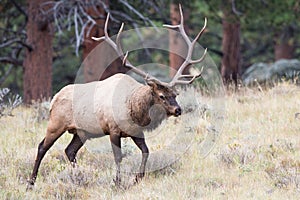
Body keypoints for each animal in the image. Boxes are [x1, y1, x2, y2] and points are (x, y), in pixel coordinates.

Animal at [27, 5, 207, 189]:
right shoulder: (113, 129)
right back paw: (31, 182)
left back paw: (79, 176)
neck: (135, 109)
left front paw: (137, 178)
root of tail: (54, 99)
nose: (178, 110)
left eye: (176, 94)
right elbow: (118, 157)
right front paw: (117, 182)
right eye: (162, 96)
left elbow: (146, 151)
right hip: (56, 123)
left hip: (82, 132)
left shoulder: (136, 131)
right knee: (42, 147)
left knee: (70, 150)